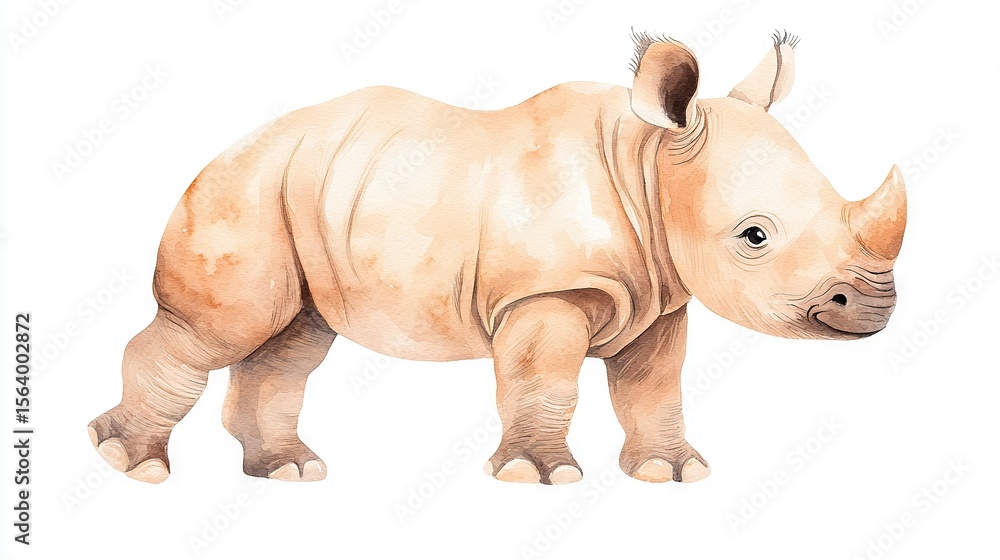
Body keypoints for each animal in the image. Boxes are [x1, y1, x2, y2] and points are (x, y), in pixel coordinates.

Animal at [88, 31, 906, 485]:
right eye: (754, 237)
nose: (873, 307)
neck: (648, 165)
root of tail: (232, 144)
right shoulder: (547, 293)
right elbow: (544, 383)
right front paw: (536, 476)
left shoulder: (659, 296)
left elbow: (653, 389)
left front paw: (670, 473)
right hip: (247, 191)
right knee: (222, 329)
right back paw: (132, 465)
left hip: (307, 194)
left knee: (293, 340)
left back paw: (290, 472)